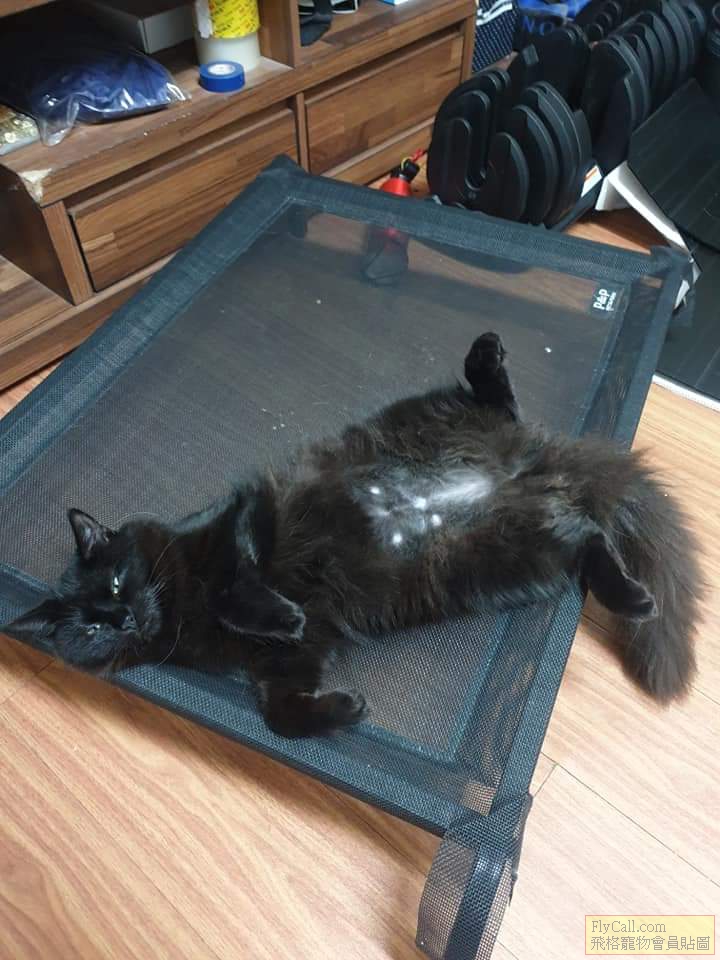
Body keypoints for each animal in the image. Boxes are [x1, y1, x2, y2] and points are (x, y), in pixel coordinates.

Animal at [6, 332, 701, 737]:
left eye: (116, 583)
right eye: (88, 629)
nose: (121, 619)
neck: (183, 614)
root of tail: (527, 468)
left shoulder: (238, 523)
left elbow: (235, 585)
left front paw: (275, 612)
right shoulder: (284, 663)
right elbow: (281, 716)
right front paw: (346, 710)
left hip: (437, 420)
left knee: (499, 400)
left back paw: (485, 352)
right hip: (508, 557)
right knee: (588, 541)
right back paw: (635, 598)